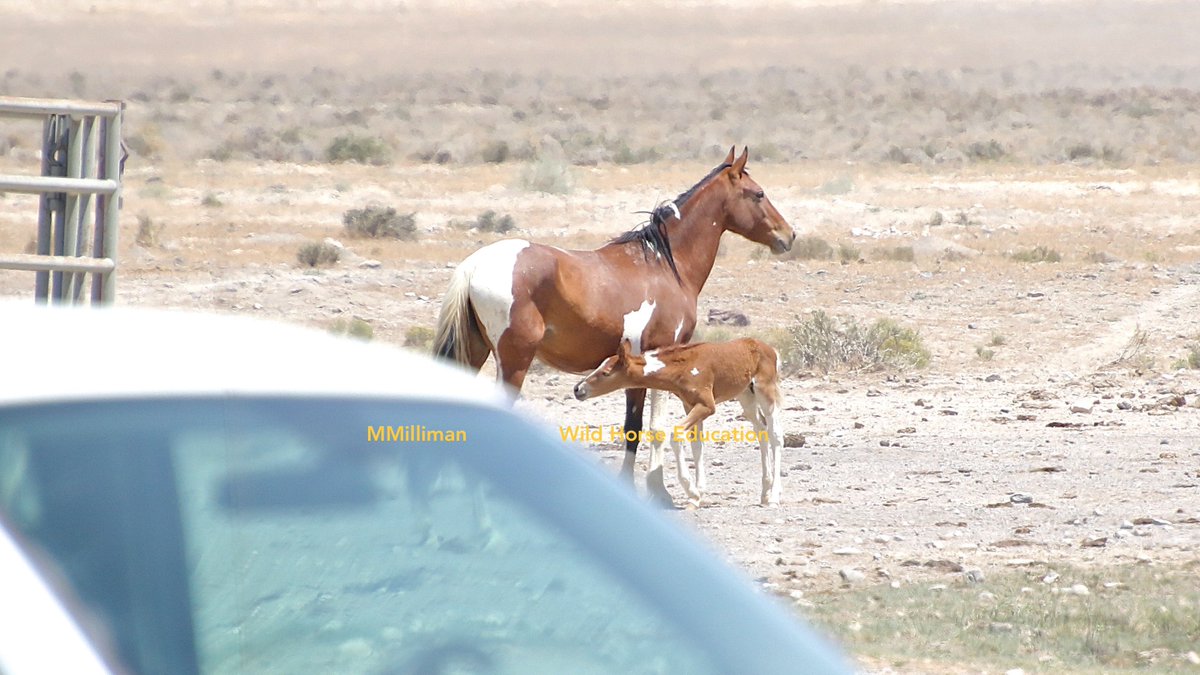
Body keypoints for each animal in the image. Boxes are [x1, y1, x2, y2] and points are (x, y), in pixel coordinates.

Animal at [572, 337, 784, 508]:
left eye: (606, 372)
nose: (578, 389)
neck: (682, 368)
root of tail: (771, 349)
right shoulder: (689, 405)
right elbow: (696, 445)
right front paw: (697, 495)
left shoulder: (707, 406)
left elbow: (676, 434)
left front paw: (691, 490)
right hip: (746, 396)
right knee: (761, 430)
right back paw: (764, 492)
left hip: (765, 391)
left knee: (775, 436)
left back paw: (774, 496)